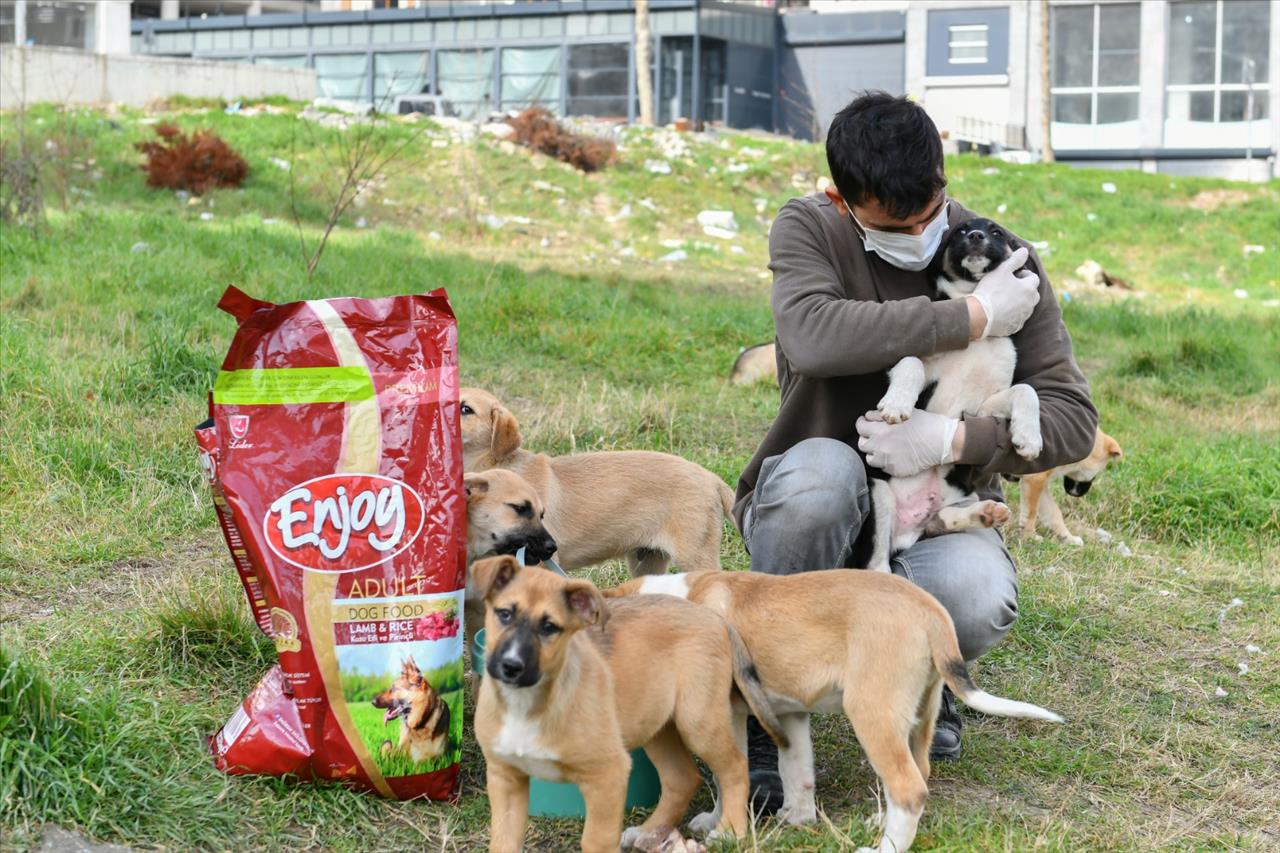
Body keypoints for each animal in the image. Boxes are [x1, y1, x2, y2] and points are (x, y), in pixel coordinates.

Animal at [476, 550, 783, 850]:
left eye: (550, 627)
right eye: (504, 614)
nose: (511, 666)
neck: (526, 704)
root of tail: (713, 615)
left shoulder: (608, 775)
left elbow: (596, 841)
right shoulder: (505, 778)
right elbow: (503, 841)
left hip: (698, 722)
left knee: (735, 768)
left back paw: (731, 831)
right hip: (658, 726)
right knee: (682, 779)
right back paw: (648, 832)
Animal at [849, 217, 1039, 571]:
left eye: (996, 233)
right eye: (960, 232)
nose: (976, 236)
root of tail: (908, 531)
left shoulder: (982, 406)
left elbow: (1025, 390)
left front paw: (1029, 438)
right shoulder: (907, 363)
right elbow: (911, 363)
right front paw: (896, 405)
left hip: (960, 496)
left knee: (943, 520)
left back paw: (984, 514)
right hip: (878, 493)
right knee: (876, 563)